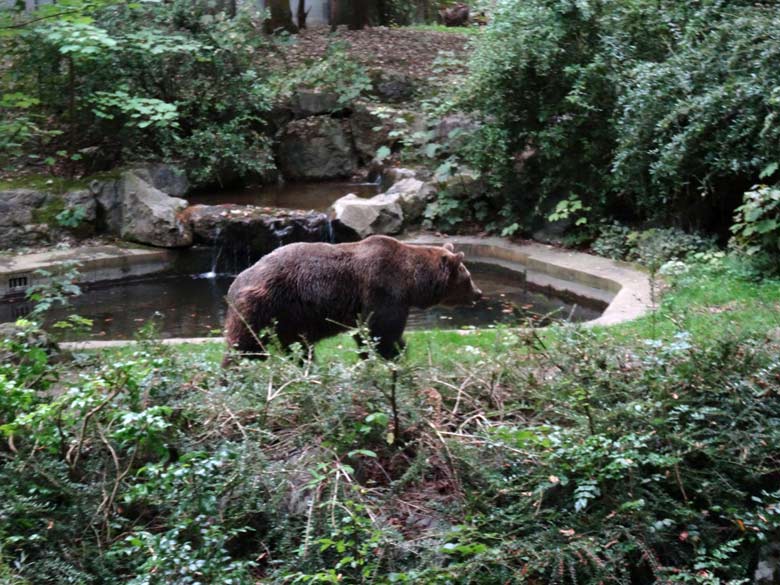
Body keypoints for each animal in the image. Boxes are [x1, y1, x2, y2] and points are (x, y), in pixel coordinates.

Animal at [219, 232, 484, 360]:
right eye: (468, 277)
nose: (479, 293)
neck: (412, 281)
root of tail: (234, 283)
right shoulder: (384, 288)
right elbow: (380, 330)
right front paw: (394, 353)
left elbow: (368, 332)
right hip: (268, 304)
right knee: (246, 345)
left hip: (289, 317)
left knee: (297, 346)